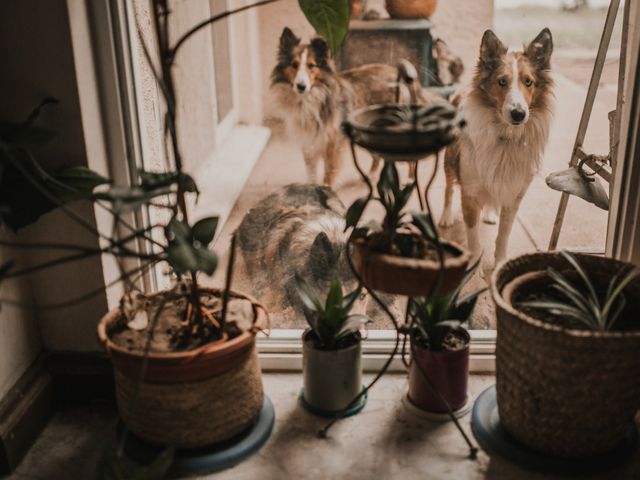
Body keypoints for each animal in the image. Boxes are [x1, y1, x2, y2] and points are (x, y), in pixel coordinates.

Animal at [268, 27, 424, 187]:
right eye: (294, 65)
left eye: (311, 65)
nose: (301, 86)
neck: (312, 97)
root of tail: (398, 73)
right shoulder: (308, 140)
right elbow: (311, 171)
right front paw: (311, 189)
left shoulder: (332, 142)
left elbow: (329, 170)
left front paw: (326, 188)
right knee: (377, 156)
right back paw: (371, 175)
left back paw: (410, 179)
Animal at [440, 29, 556, 270]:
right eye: (502, 81)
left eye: (528, 82)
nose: (518, 114)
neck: (506, 137)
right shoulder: (469, 193)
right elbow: (473, 236)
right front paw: (473, 264)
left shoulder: (513, 196)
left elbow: (503, 235)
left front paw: (500, 262)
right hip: (449, 160)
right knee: (448, 188)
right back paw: (446, 217)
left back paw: (491, 213)